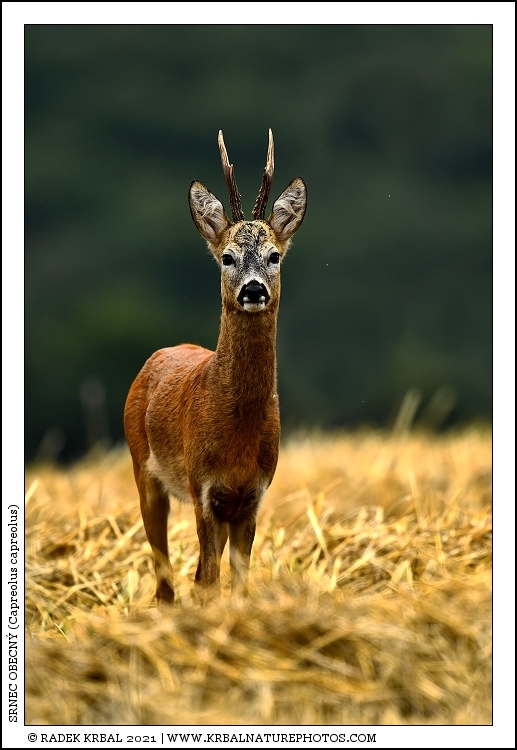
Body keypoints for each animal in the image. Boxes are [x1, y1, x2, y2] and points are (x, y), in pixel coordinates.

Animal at [123, 130, 307, 605]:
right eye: (227, 257)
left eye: (274, 256)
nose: (254, 289)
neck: (237, 438)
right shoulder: (202, 486)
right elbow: (207, 581)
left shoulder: (252, 494)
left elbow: (237, 580)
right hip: (143, 470)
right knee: (165, 578)